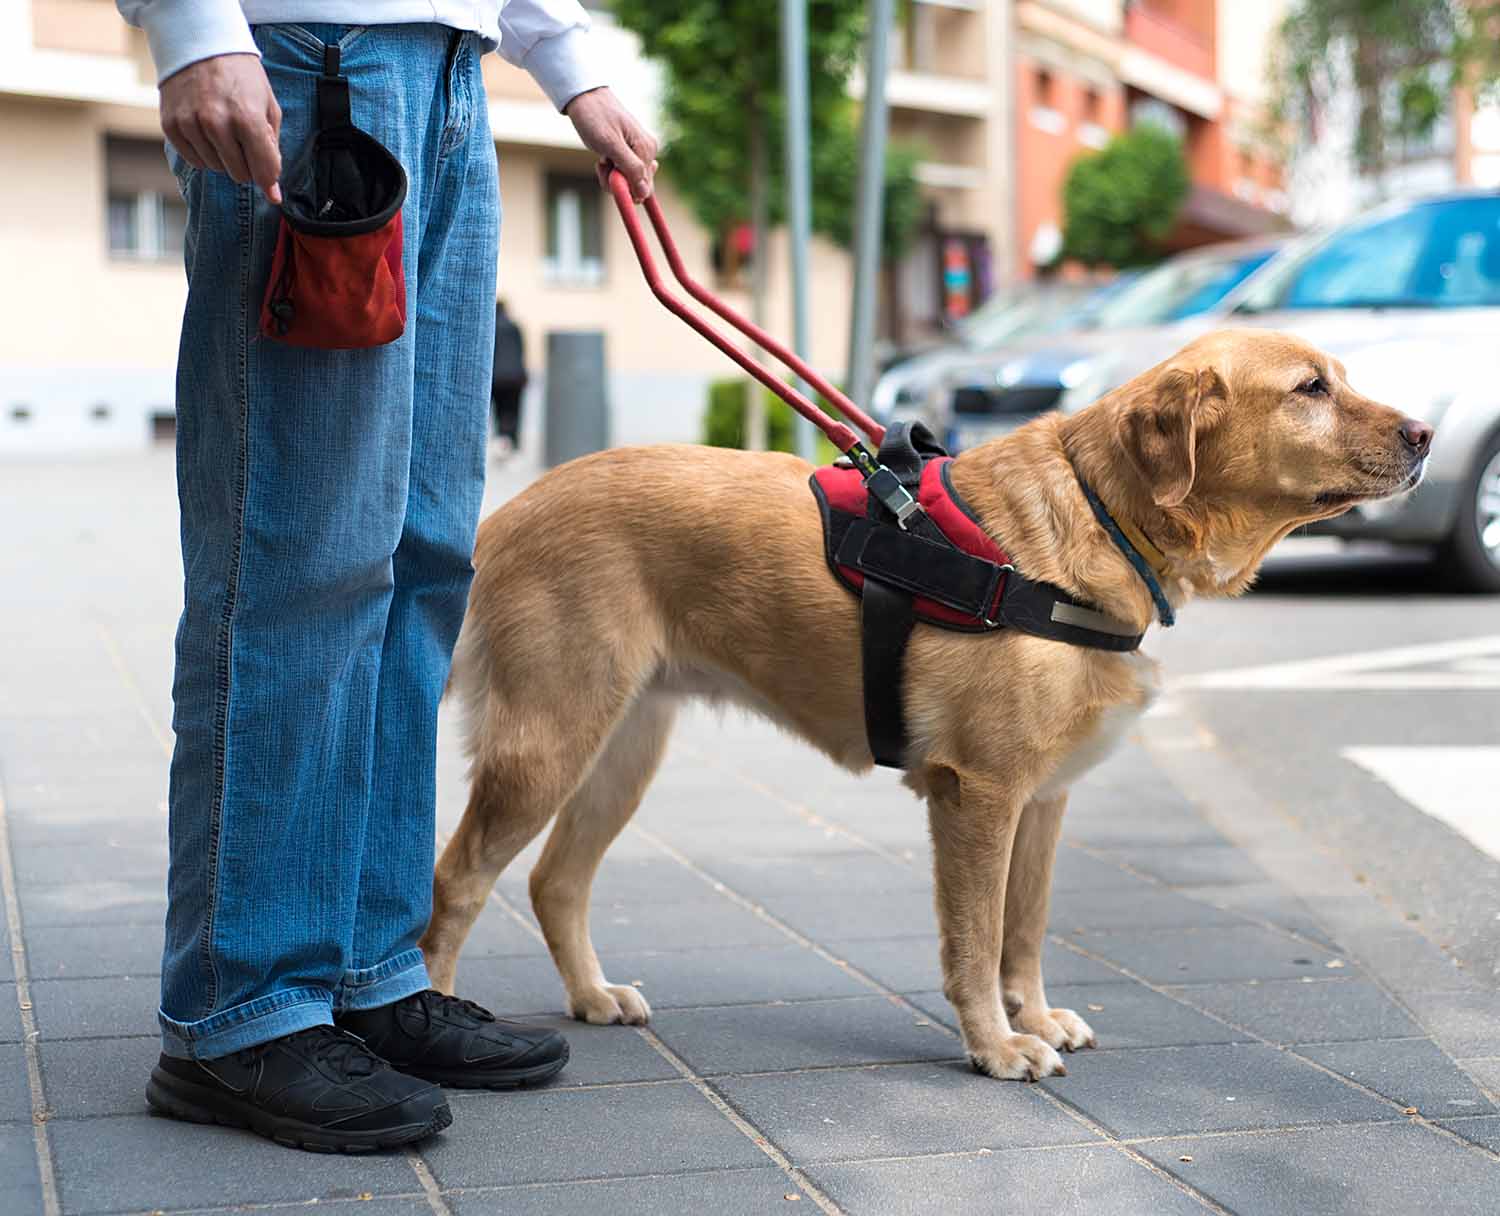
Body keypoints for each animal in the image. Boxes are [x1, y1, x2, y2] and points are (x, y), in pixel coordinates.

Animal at [420, 328, 1428, 1079]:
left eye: (1339, 378)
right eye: (1310, 388)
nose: (1423, 433)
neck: (1098, 517)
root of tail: (507, 513)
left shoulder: (1042, 800)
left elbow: (1024, 929)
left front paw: (1034, 1018)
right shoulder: (977, 794)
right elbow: (976, 942)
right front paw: (995, 1046)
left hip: (621, 750)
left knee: (555, 881)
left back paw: (592, 996)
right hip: (547, 744)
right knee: (457, 879)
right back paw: (432, 1020)